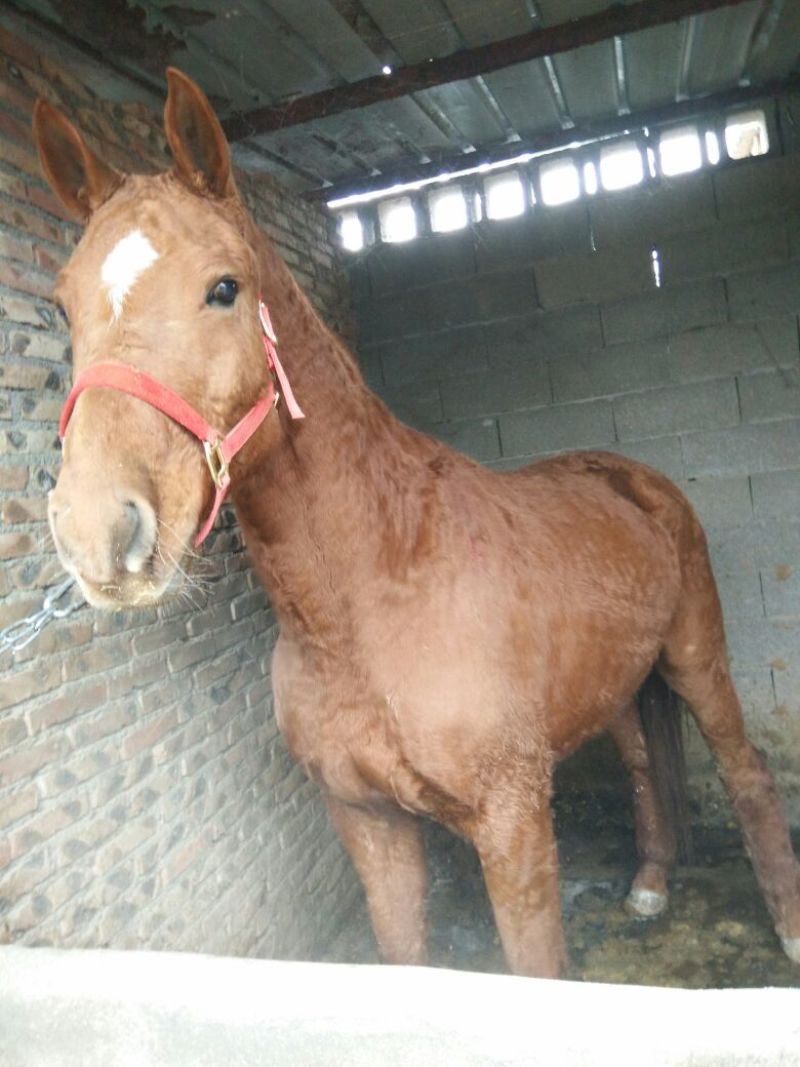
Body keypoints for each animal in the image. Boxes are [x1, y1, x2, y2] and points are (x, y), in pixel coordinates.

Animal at [32, 69, 800, 978]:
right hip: (620, 680)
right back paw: (649, 883)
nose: (96, 531)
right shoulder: (368, 820)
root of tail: (635, 478)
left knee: (747, 770)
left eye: (224, 287)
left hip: (695, 655)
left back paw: (786, 924)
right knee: (646, 763)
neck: (374, 592)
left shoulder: (513, 826)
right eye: (64, 307)